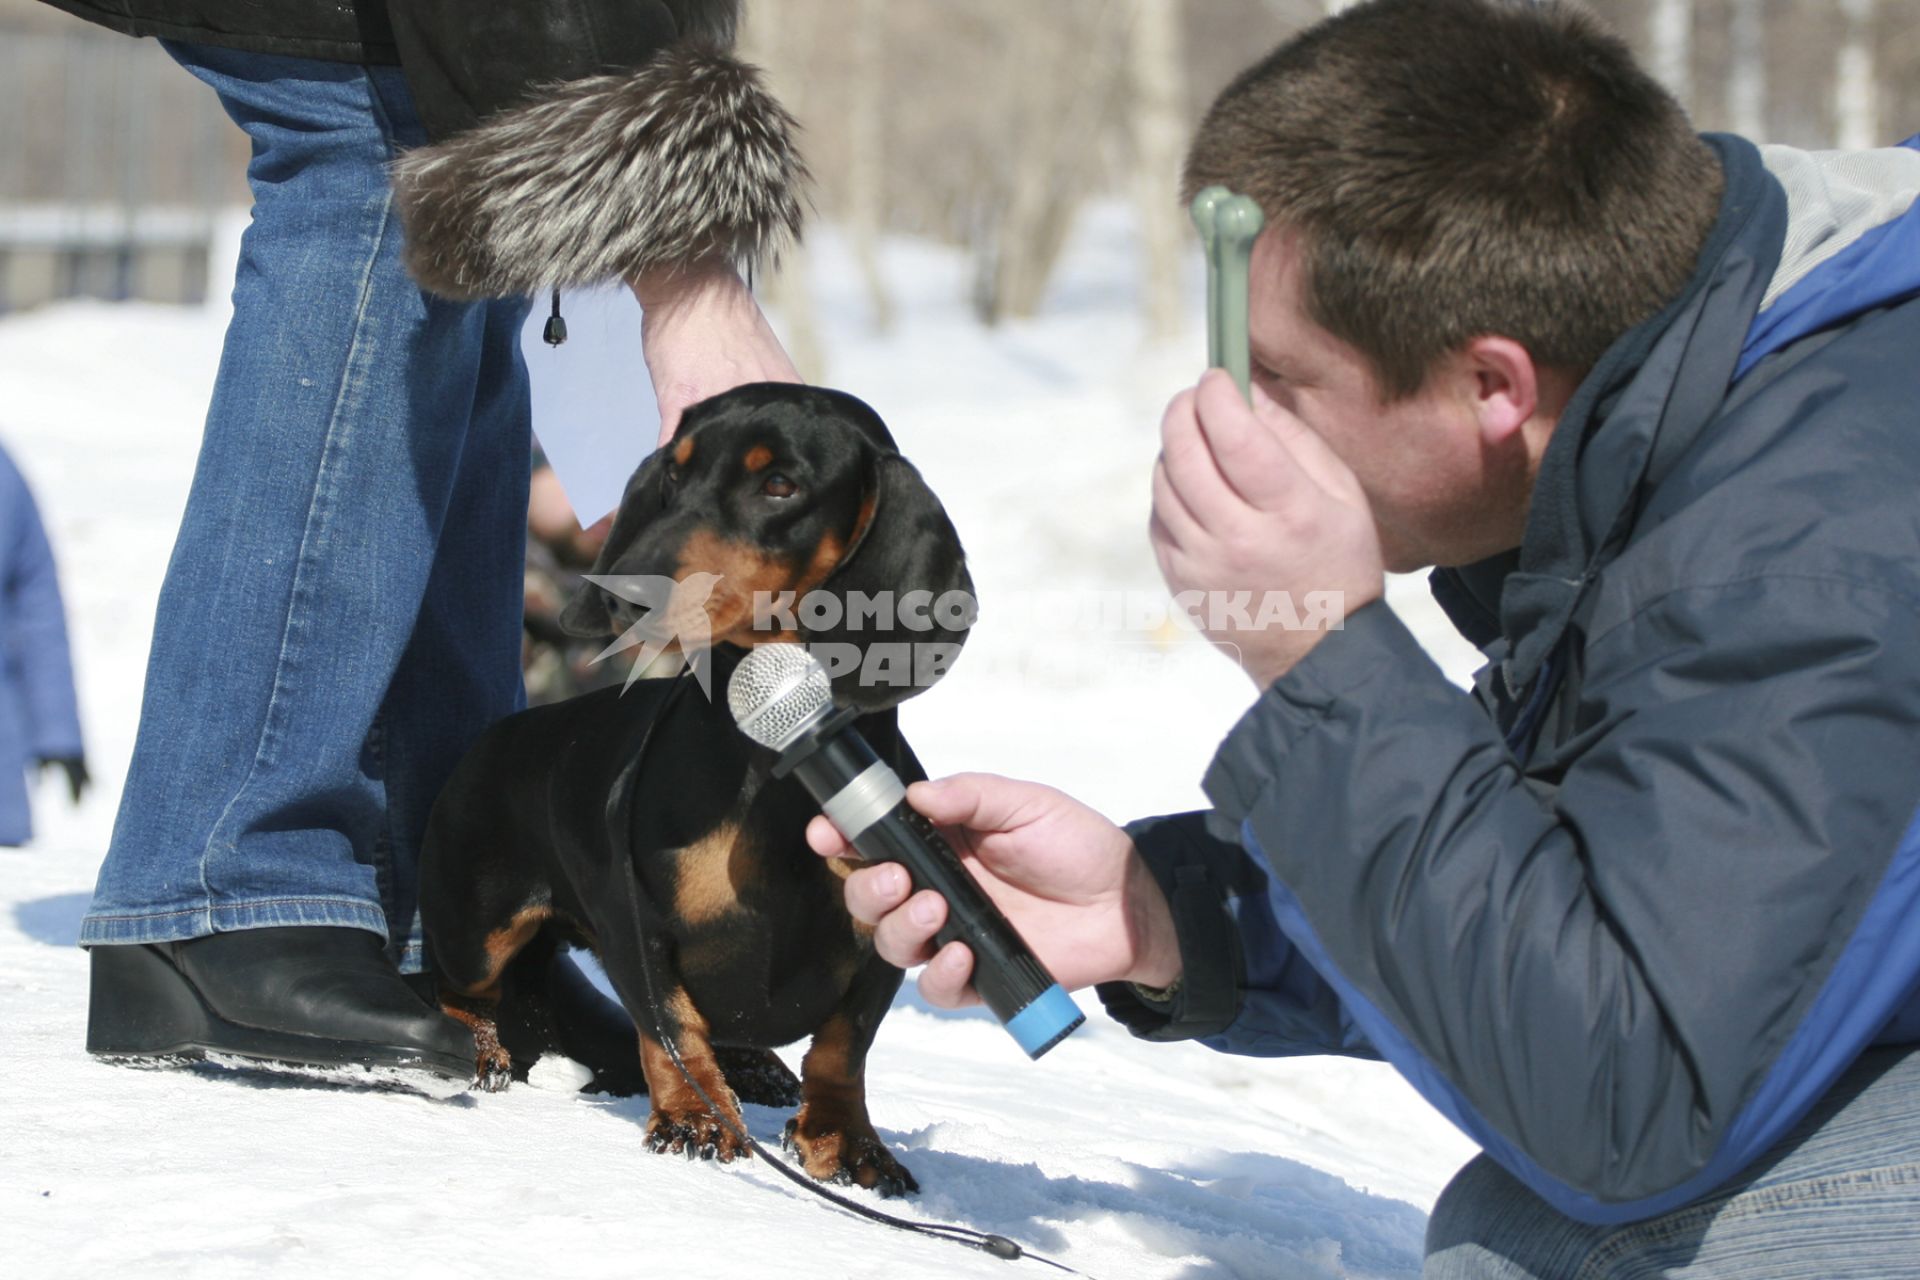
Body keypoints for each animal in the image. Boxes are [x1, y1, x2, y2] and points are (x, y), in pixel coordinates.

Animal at [414, 378, 967, 1189]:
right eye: (673, 477)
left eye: (780, 485)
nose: (624, 592)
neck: (773, 776)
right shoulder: (632, 923)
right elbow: (672, 1028)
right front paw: (696, 1116)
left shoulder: (892, 932)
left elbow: (845, 1046)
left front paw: (848, 1141)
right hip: (476, 928)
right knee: (454, 988)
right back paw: (482, 1048)